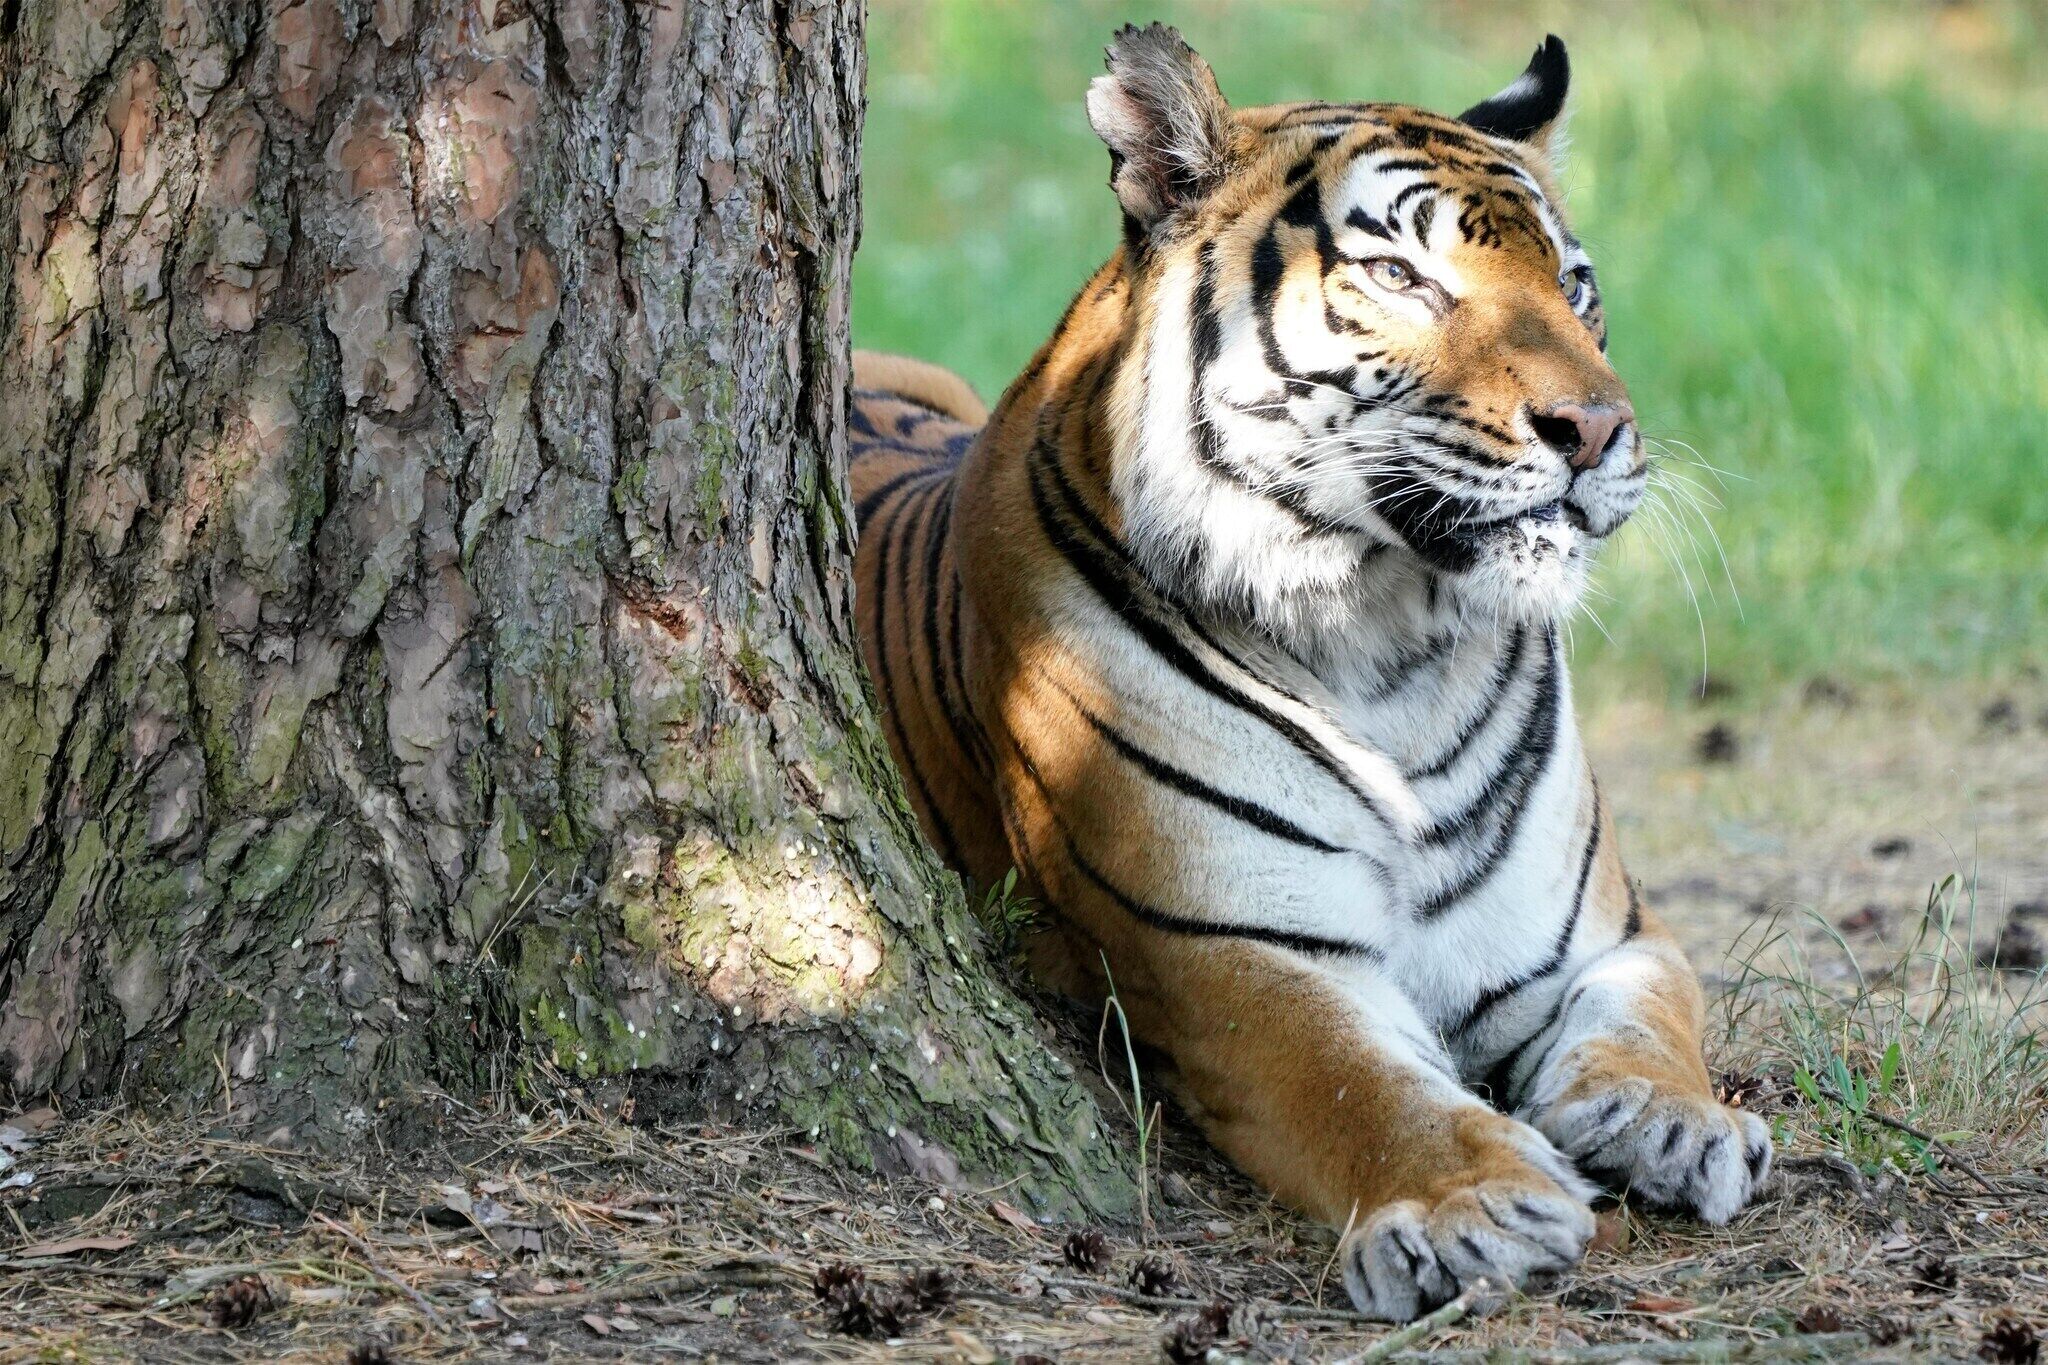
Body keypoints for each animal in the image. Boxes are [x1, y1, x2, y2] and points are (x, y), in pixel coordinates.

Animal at [848, 25, 1771, 1320]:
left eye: (1576, 287)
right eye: (1398, 278)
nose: (1594, 430)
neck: (1394, 649)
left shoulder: (1602, 937)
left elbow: (1650, 1015)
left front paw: (1679, 1122)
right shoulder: (1229, 953)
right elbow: (1358, 1086)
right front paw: (1473, 1209)